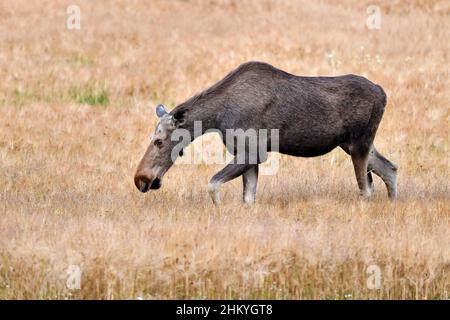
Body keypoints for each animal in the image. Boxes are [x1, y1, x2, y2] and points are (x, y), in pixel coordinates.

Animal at [134, 61, 398, 204]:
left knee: (367, 188)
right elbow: (248, 197)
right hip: (352, 143)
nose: (141, 179)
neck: (217, 118)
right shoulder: (247, 154)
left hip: (359, 142)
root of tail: (383, 93)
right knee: (390, 169)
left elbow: (213, 184)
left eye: (159, 141)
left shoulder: (255, 152)